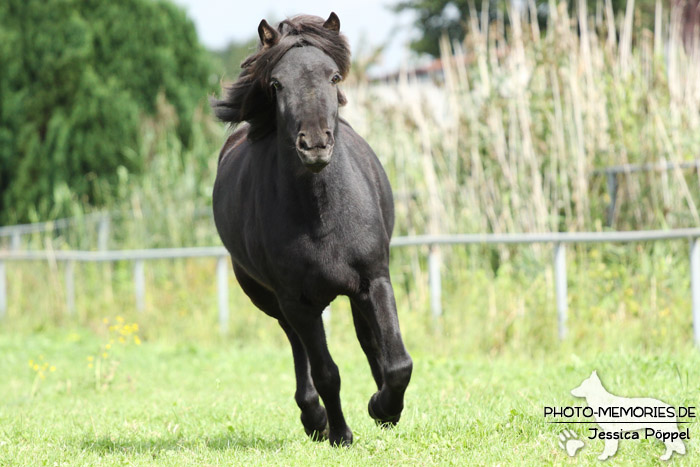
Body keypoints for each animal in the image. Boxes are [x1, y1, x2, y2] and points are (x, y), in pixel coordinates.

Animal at [211, 12, 412, 448]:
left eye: (333, 77)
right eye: (276, 84)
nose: (315, 144)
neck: (321, 215)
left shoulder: (374, 279)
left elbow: (397, 361)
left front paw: (384, 408)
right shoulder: (297, 301)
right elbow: (326, 372)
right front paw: (339, 432)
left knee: (368, 342)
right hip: (272, 299)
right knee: (297, 347)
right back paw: (314, 418)